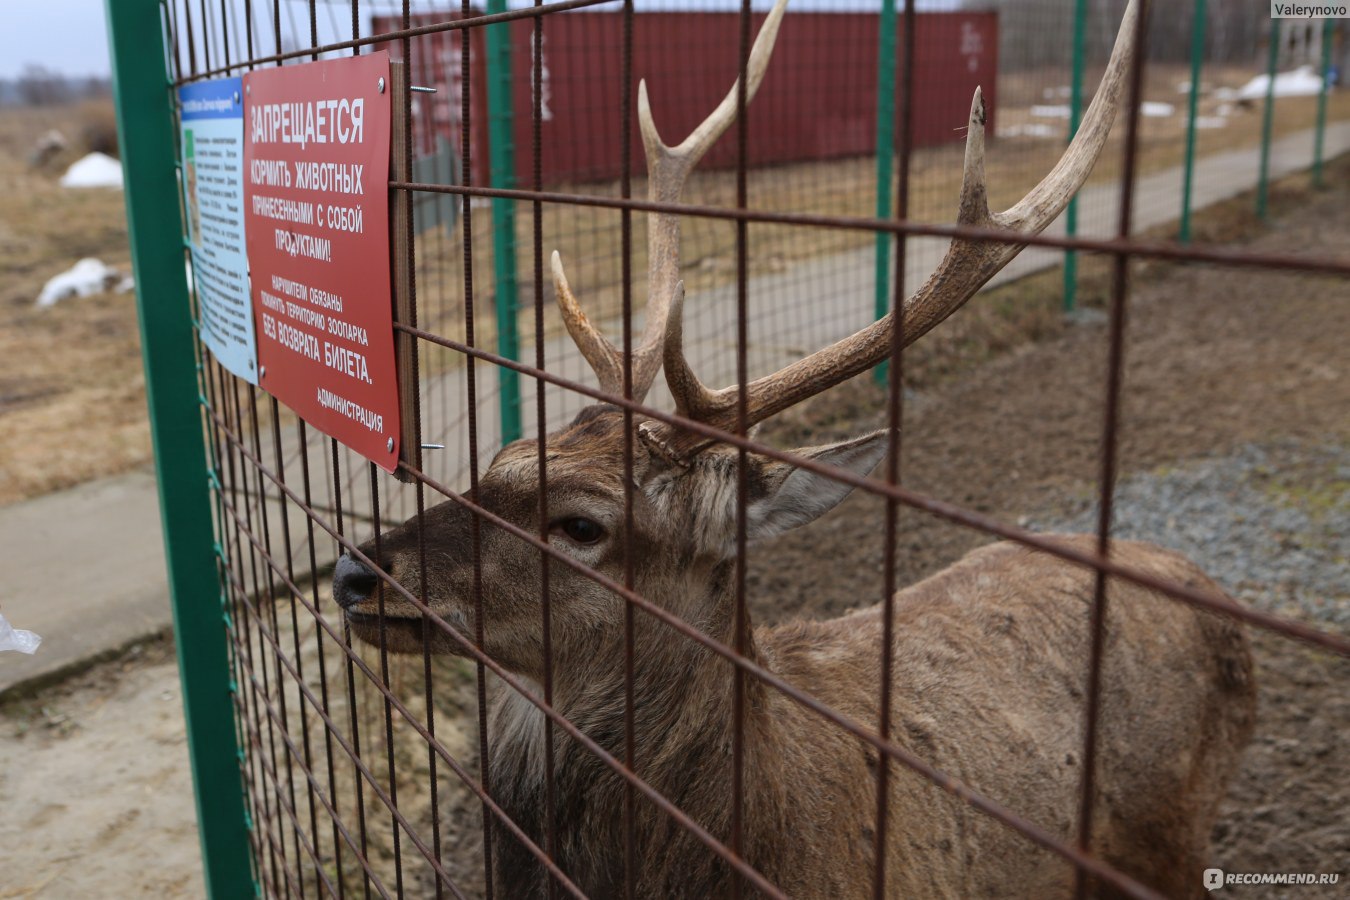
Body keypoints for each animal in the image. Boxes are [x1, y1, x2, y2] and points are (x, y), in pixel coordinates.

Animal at [332, 3, 1258, 895]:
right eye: (499, 458)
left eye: (582, 525)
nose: (354, 570)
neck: (764, 849)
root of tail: (1220, 601)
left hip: (1174, 831)